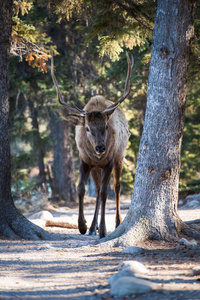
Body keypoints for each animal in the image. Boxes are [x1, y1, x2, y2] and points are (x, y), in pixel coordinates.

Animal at [51, 52, 133, 238]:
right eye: (87, 128)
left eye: (106, 126)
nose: (100, 148)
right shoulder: (84, 161)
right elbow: (81, 189)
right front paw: (83, 225)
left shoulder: (109, 161)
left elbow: (105, 193)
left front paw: (103, 229)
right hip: (96, 168)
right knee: (96, 189)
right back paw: (92, 227)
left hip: (119, 158)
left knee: (116, 187)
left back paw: (116, 222)